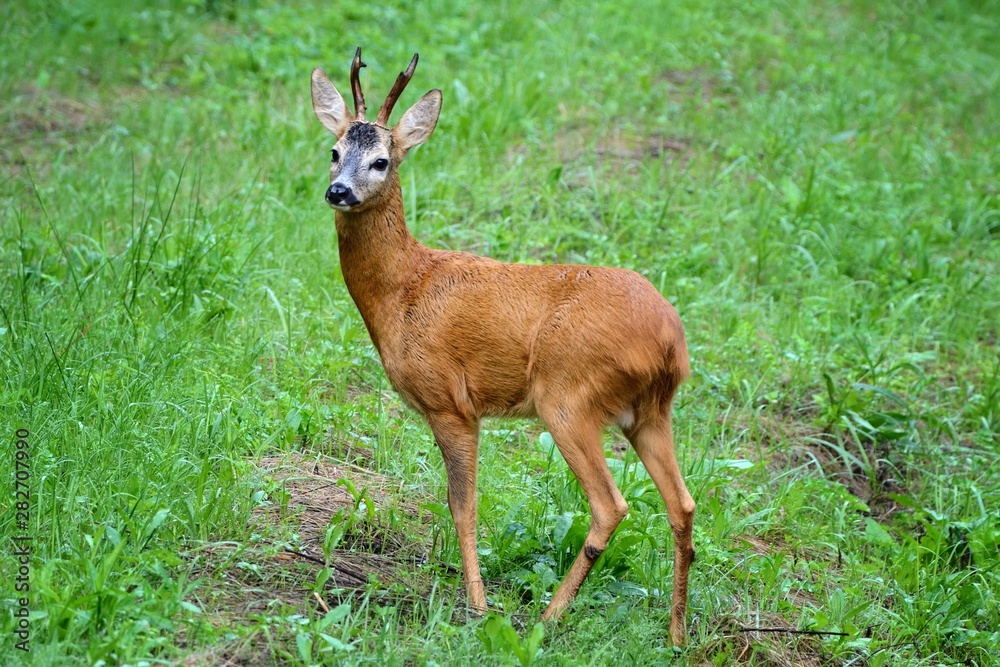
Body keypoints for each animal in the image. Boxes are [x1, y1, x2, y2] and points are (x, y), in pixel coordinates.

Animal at [310, 48, 696, 646]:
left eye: (381, 161)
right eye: (333, 152)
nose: (339, 191)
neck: (403, 290)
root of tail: (670, 343)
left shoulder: (450, 402)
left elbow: (462, 506)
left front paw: (476, 606)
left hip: (569, 398)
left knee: (611, 505)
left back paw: (549, 616)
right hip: (650, 412)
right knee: (683, 505)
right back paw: (676, 634)